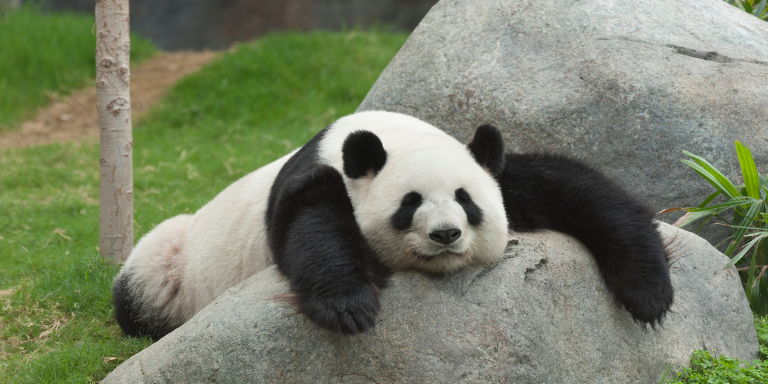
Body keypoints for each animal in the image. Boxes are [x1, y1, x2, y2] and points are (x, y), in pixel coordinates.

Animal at [112, 110, 672, 340]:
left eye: (466, 201)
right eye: (410, 203)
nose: (445, 234)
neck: (390, 134)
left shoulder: (491, 167)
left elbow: (582, 191)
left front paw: (649, 295)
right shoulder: (318, 178)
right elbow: (311, 228)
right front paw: (350, 307)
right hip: (173, 262)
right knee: (144, 285)